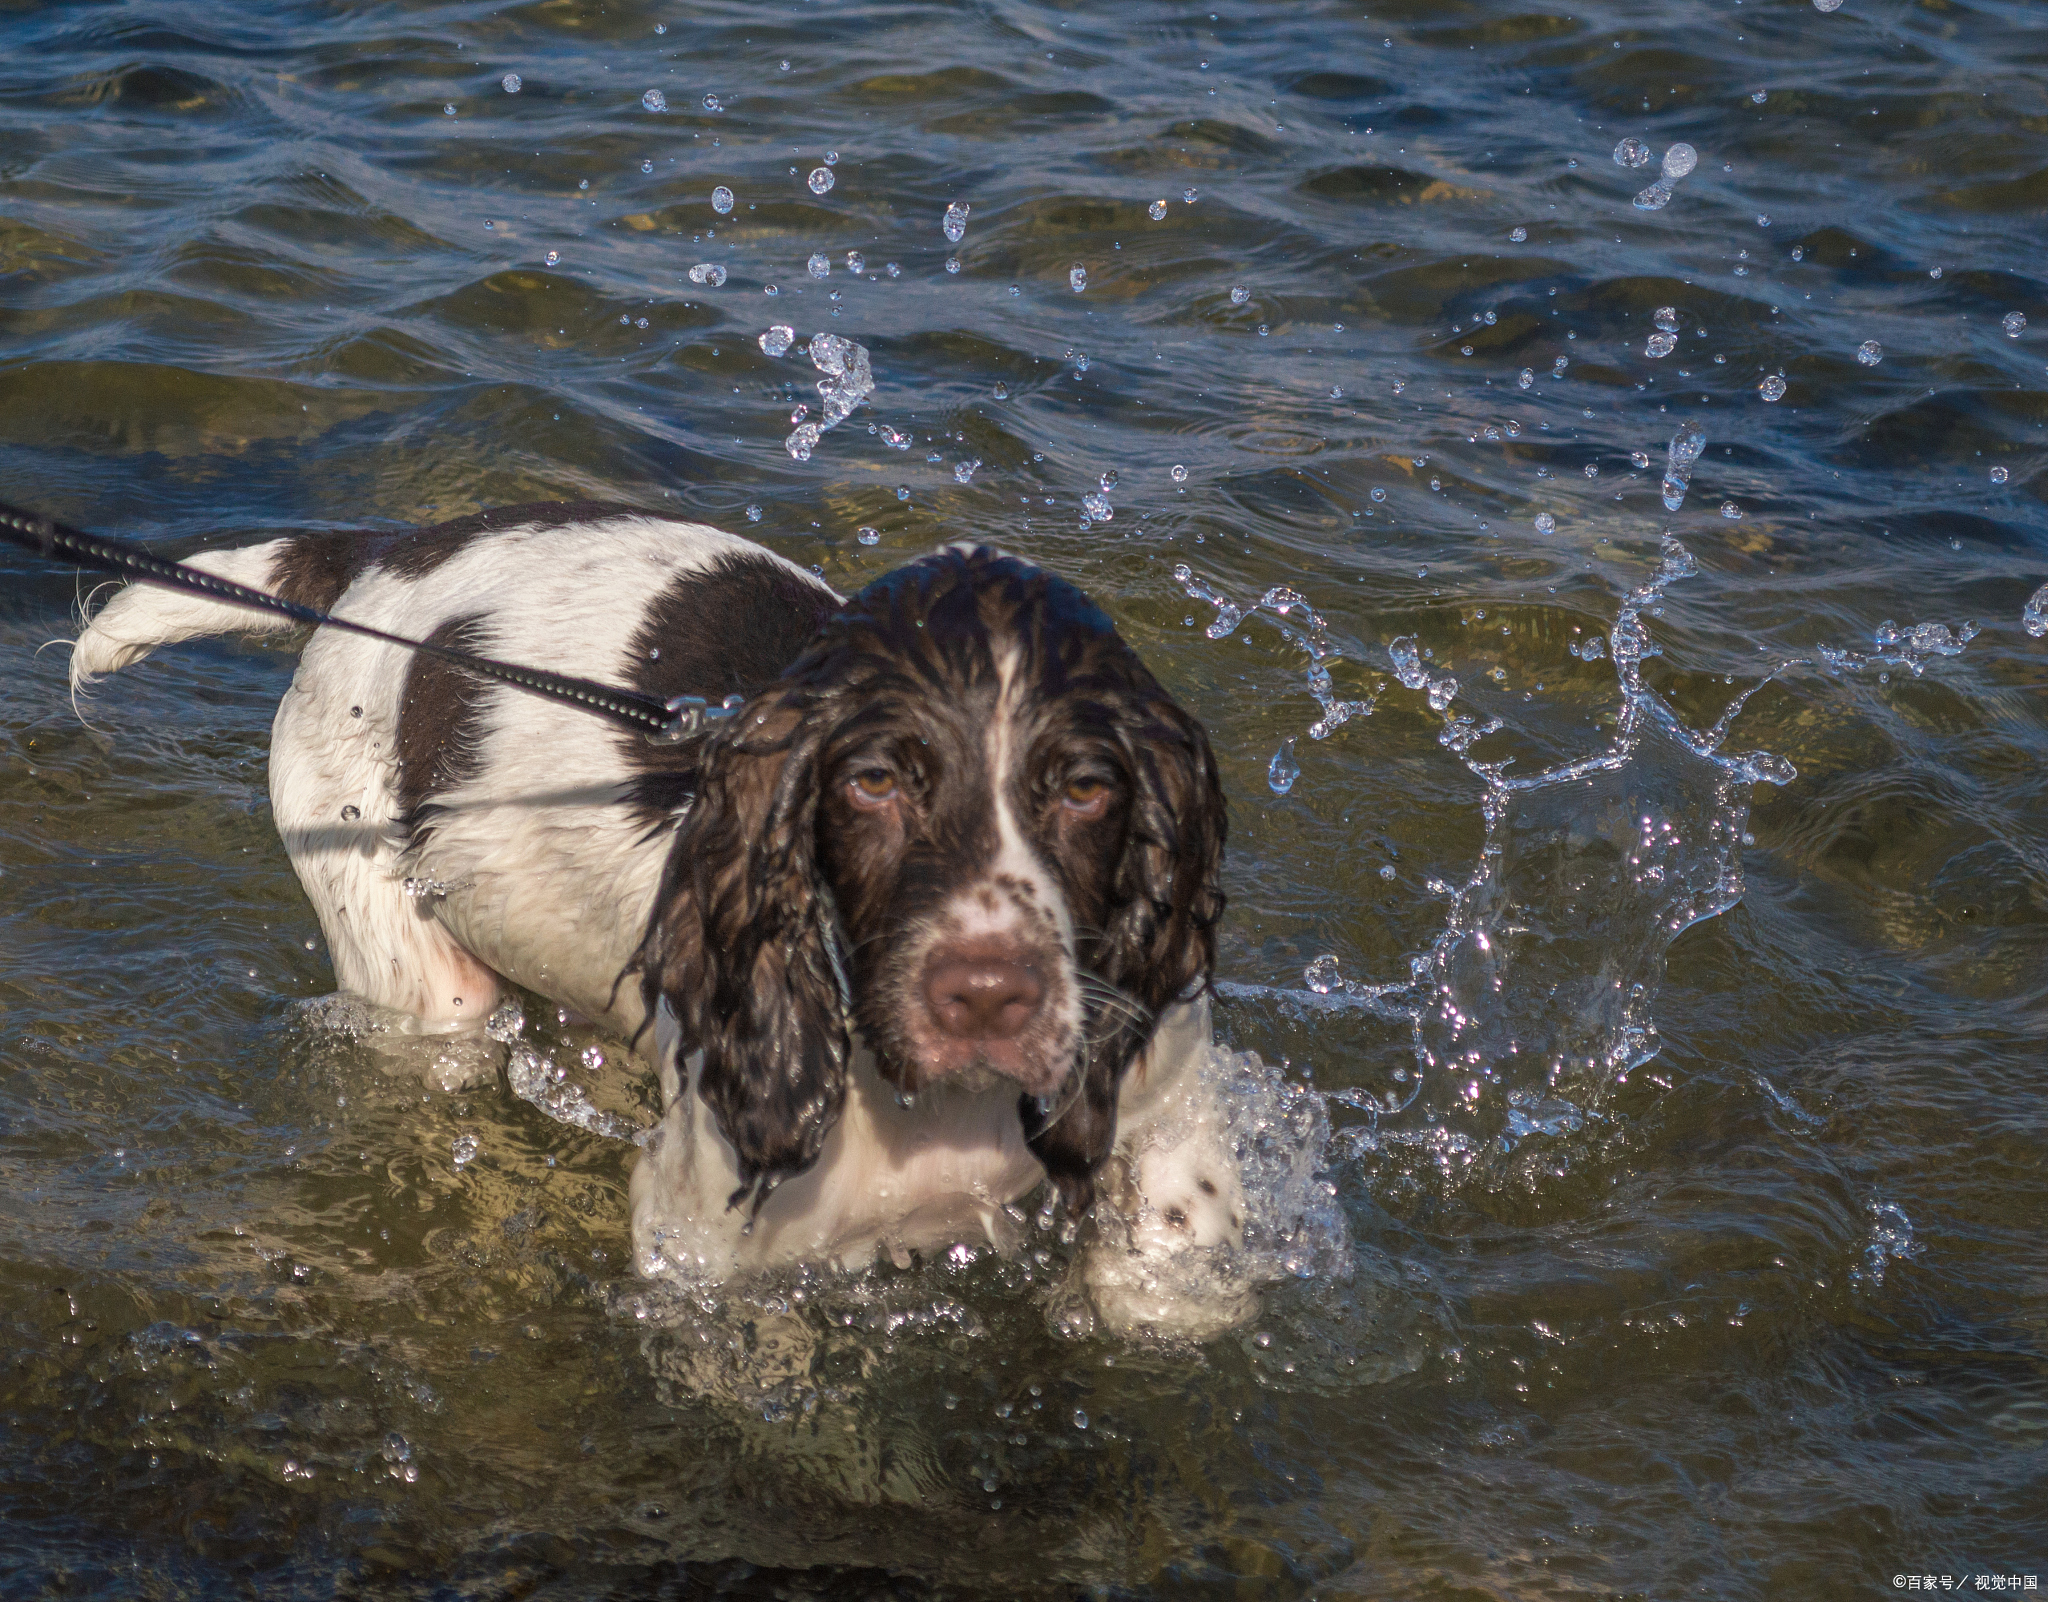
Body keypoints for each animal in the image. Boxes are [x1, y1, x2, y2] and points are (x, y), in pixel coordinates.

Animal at [72, 508, 1253, 1335]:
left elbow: (1177, 1249)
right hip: (389, 919)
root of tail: (387, 551)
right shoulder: (710, 1242)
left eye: (1087, 790)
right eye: (870, 782)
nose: (988, 993)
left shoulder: (1162, 1092)